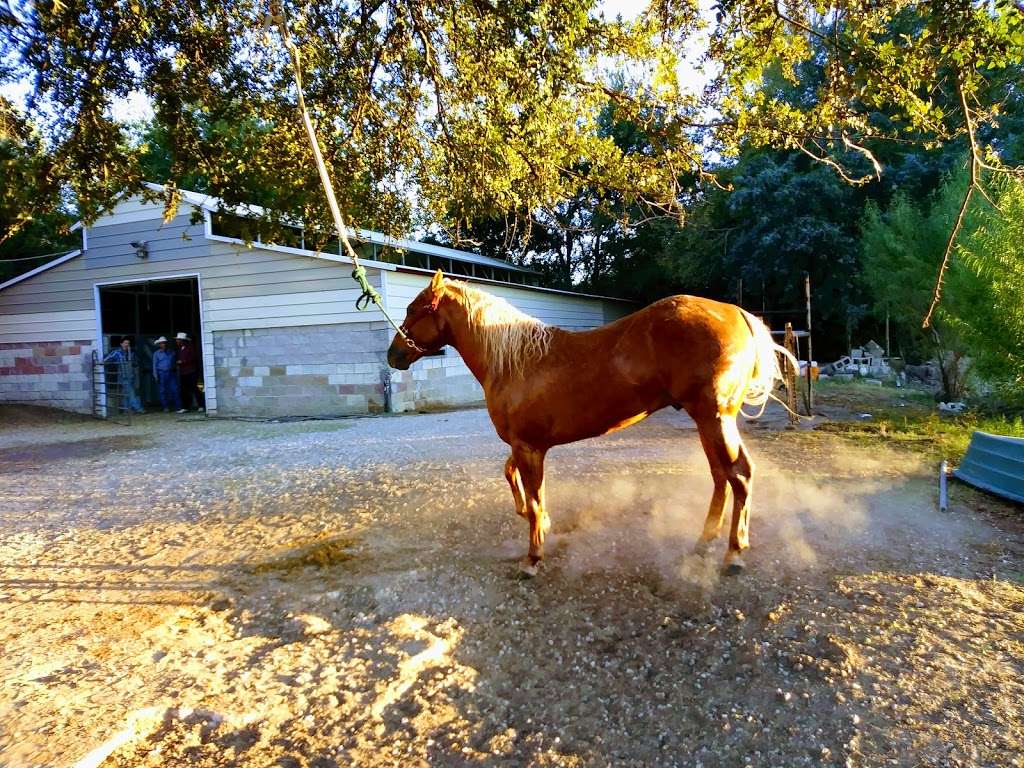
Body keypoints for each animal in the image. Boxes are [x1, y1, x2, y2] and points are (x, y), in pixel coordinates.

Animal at [387, 270, 794, 577]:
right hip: (707, 421)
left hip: (714, 417)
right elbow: (516, 480)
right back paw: (703, 543)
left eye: (414, 309)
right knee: (720, 476)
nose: (394, 355)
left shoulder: (528, 447)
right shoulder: (526, 446)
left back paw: (734, 554)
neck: (515, 361)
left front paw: (533, 557)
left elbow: (534, 497)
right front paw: (535, 521)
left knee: (739, 474)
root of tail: (735, 312)